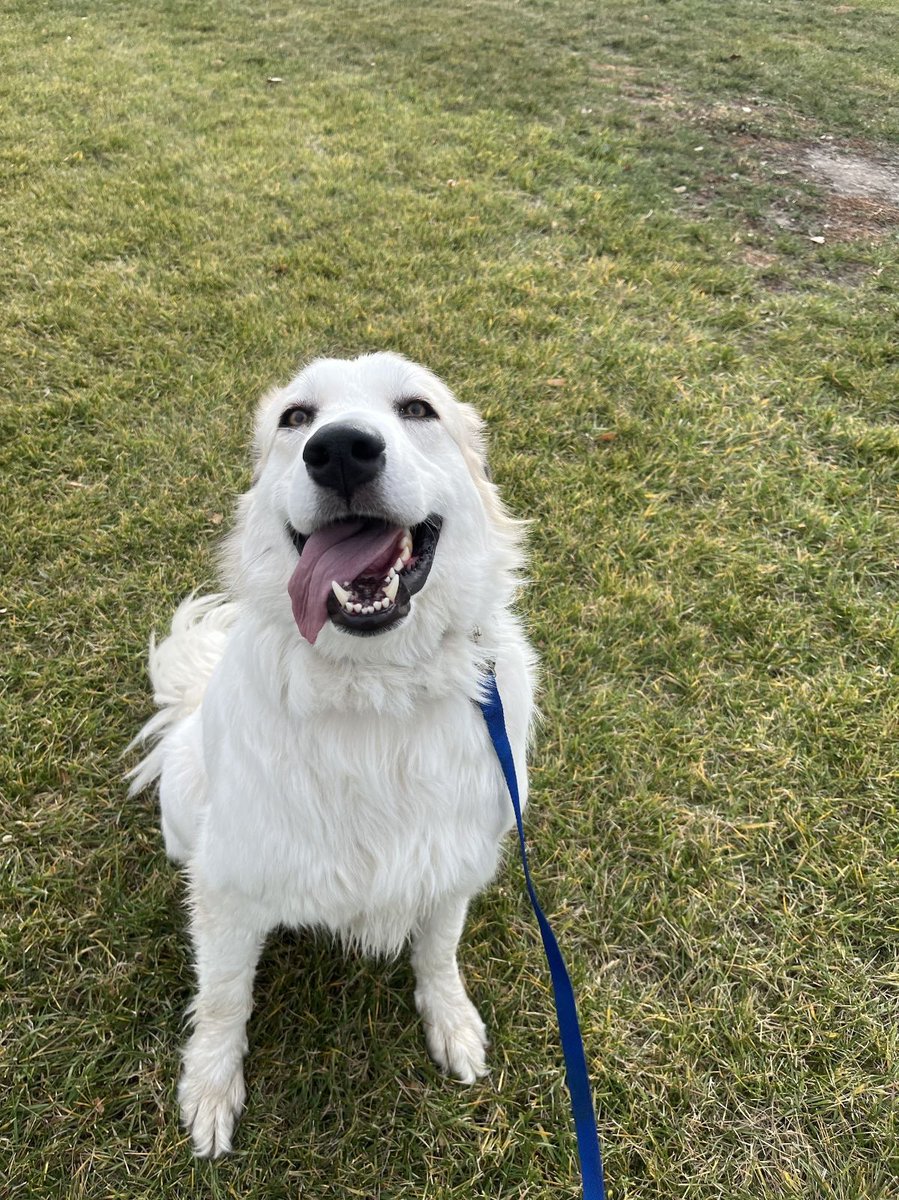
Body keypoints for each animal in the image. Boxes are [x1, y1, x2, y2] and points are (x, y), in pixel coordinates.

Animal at [129, 350, 537, 1156]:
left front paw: (451, 1023)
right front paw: (210, 1088)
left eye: (417, 409)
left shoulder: (454, 862)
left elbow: (438, 951)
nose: (341, 450)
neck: (376, 692)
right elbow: (223, 996)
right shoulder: (229, 887)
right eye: (296, 418)